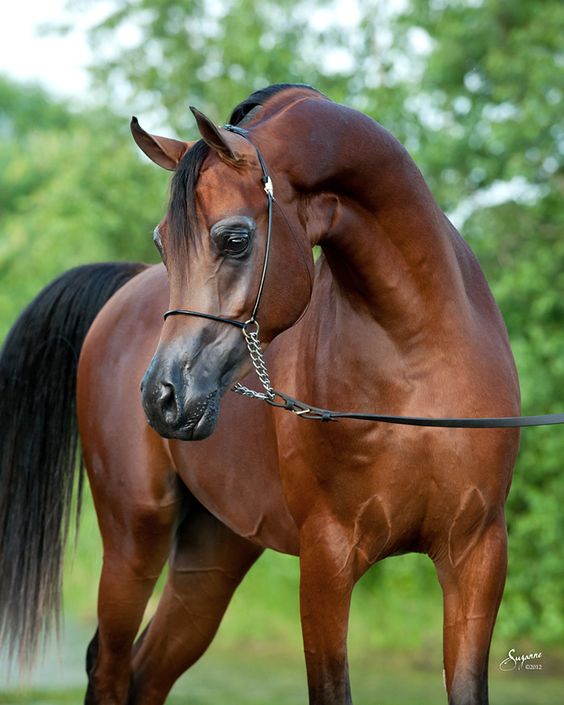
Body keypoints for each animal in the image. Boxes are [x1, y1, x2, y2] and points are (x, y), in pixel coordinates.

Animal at [0, 81, 520, 700]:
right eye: (162, 243)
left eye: (234, 238)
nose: (162, 396)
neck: (416, 357)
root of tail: (123, 291)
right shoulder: (327, 559)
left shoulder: (477, 557)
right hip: (133, 540)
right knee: (110, 666)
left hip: (213, 554)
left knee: (148, 671)